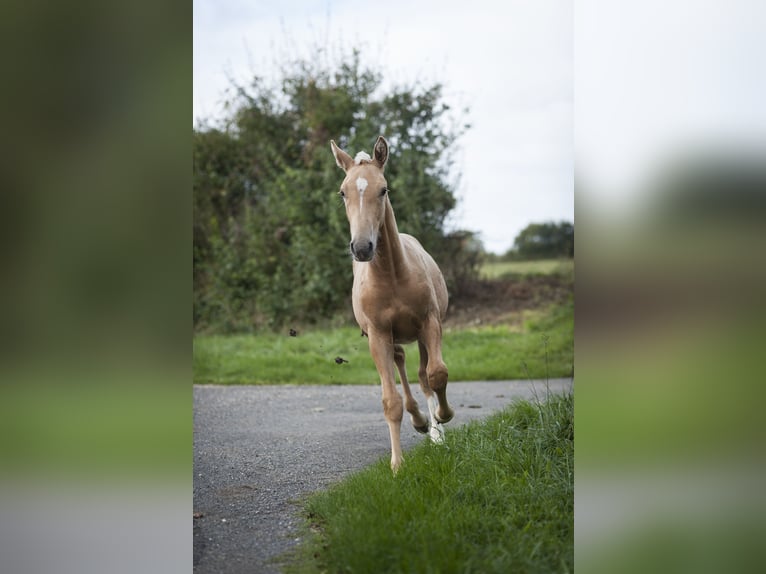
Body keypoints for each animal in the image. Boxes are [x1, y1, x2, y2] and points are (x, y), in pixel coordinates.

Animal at [332, 137, 456, 474]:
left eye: (383, 189)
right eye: (343, 192)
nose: (362, 247)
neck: (392, 277)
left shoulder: (429, 323)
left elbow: (436, 374)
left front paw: (442, 418)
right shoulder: (377, 335)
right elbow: (390, 401)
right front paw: (397, 466)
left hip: (422, 332)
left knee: (424, 375)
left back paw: (435, 429)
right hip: (391, 336)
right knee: (401, 362)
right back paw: (419, 421)